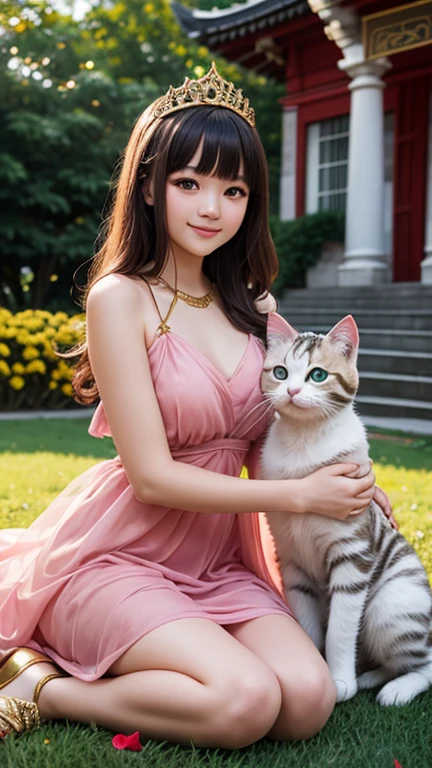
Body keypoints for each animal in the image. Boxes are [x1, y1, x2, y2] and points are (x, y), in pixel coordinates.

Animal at [260, 316, 432, 704]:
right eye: (280, 372)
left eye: (317, 375)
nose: (292, 391)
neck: (302, 440)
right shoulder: (291, 561)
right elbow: (309, 625)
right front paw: (318, 669)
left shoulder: (352, 555)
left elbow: (340, 628)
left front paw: (339, 681)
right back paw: (370, 677)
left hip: (391, 610)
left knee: (425, 662)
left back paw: (394, 690)